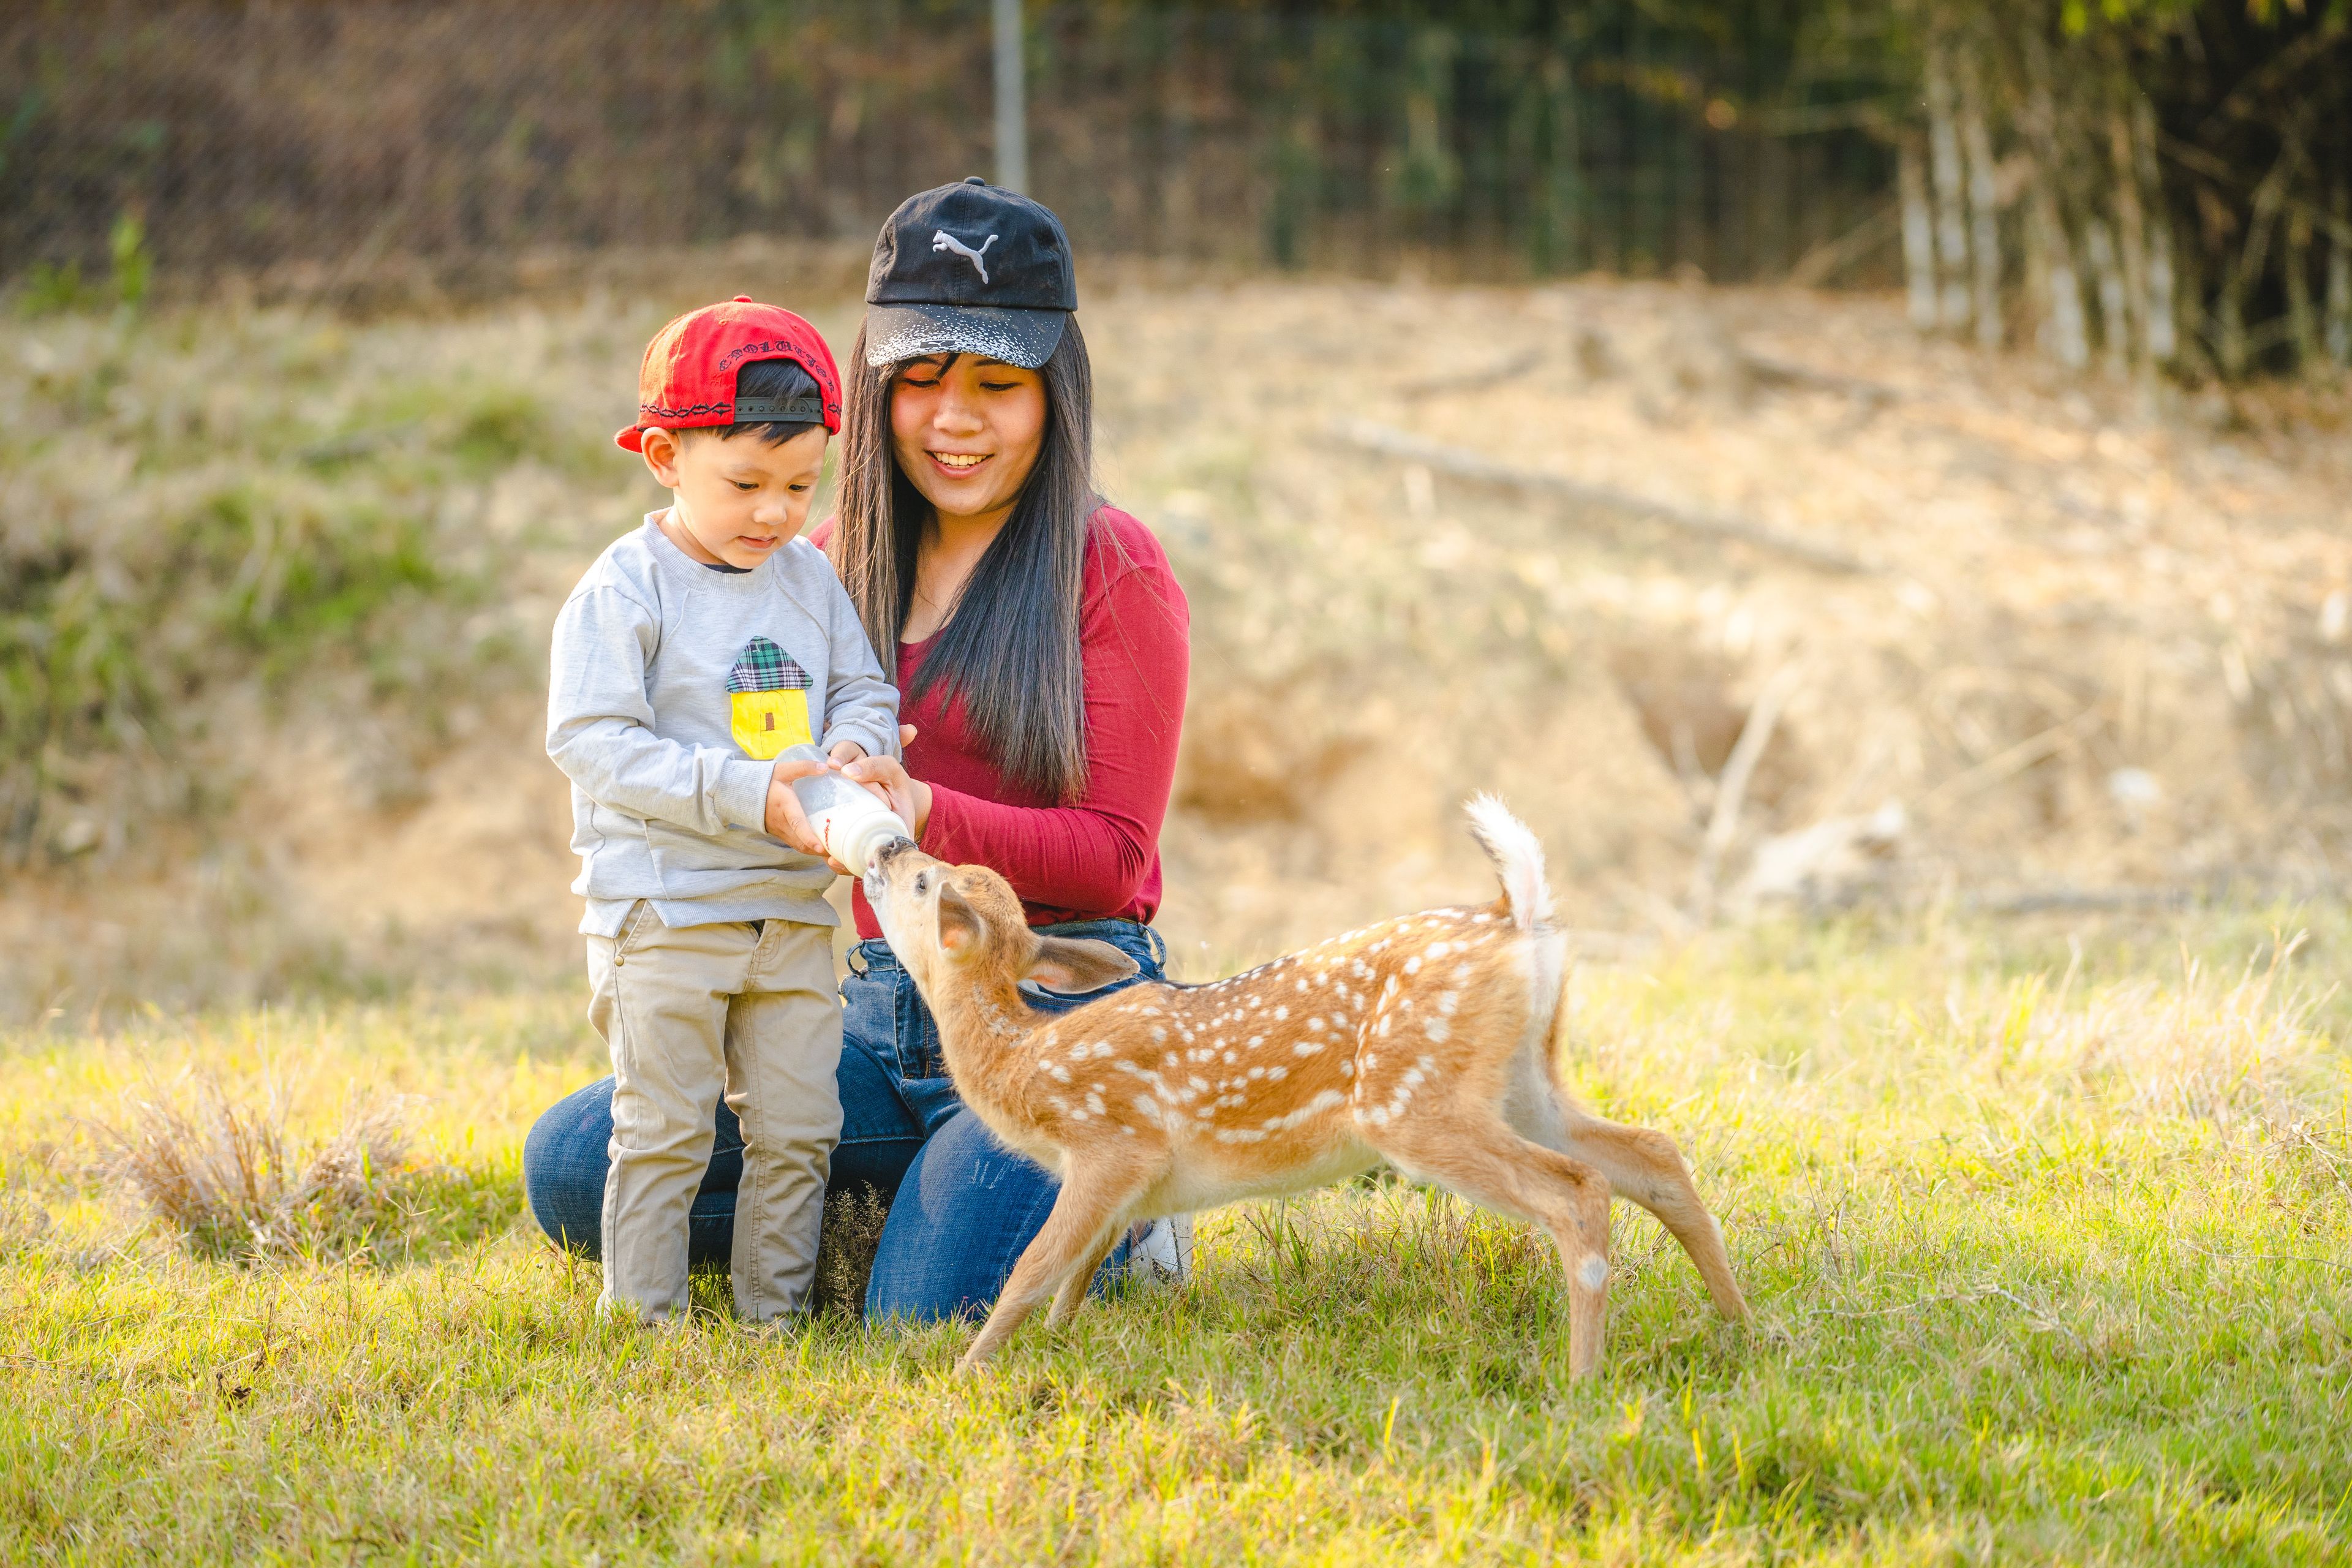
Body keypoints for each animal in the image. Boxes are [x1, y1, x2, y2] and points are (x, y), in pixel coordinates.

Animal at [862, 797, 1749, 1377]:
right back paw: (1744, 1329)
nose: (889, 848)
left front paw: (965, 1376)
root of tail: (1516, 915)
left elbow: (1029, 1268)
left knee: (1577, 1191)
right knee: (1651, 1154)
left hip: (1412, 1100)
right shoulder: (1131, 1186)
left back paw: (1580, 1381)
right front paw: (1048, 1347)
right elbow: (1073, 1275)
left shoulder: (1112, 1142)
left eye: (926, 882)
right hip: (1524, 1081)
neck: (1021, 1054)